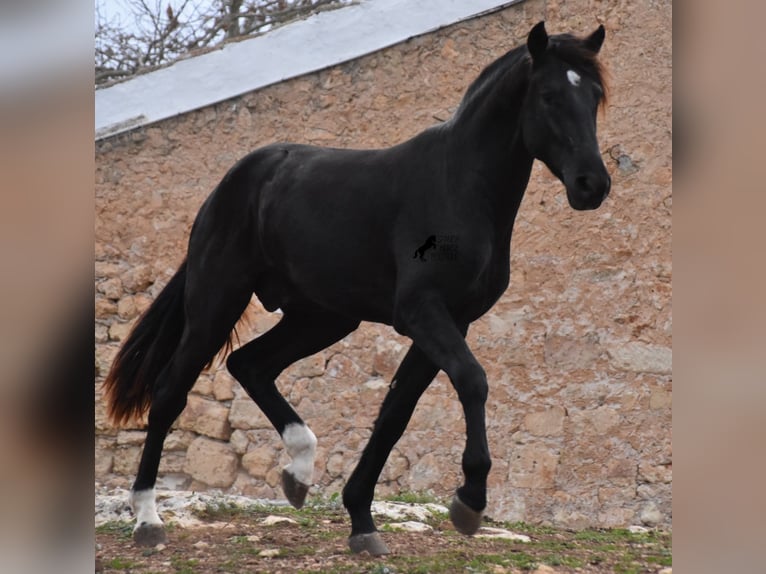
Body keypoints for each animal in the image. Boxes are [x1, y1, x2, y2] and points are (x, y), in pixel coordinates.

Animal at [106, 21, 612, 560]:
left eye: (595, 96)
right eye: (549, 95)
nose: (592, 185)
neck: (458, 188)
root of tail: (229, 187)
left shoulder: (452, 319)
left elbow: (395, 413)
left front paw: (362, 521)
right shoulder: (422, 312)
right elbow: (472, 382)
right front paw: (469, 502)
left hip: (322, 317)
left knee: (250, 364)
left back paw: (298, 472)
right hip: (217, 301)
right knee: (169, 392)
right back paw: (147, 519)